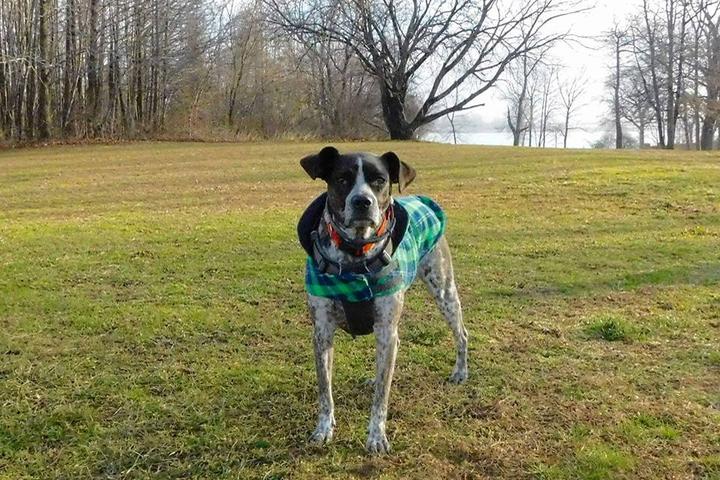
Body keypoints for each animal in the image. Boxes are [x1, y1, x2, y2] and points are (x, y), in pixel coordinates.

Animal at [296, 145, 470, 454]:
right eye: (342, 179)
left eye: (379, 180)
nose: (362, 202)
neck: (355, 255)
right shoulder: (322, 332)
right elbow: (325, 390)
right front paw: (324, 429)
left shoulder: (388, 332)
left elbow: (381, 397)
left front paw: (376, 436)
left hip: (444, 290)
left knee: (461, 332)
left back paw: (460, 372)